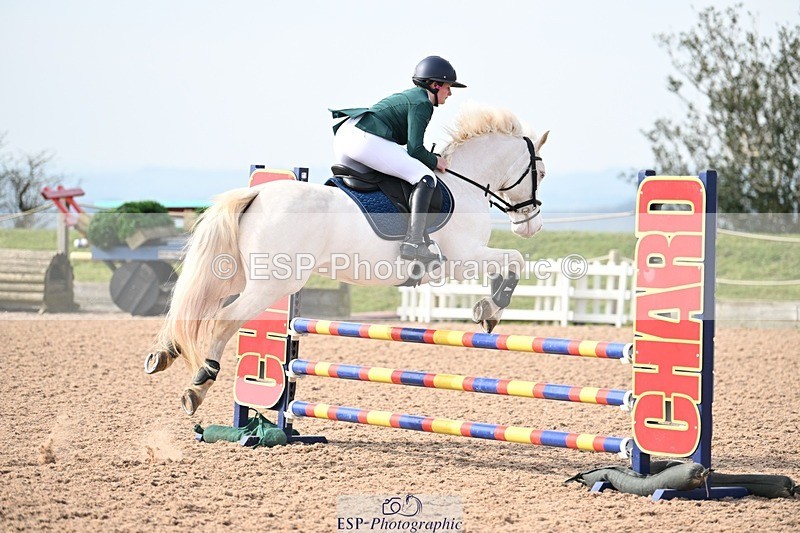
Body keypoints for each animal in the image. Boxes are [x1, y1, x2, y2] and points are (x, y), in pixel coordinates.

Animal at [145, 103, 549, 415]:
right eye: (540, 173)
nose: (532, 226)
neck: (466, 184)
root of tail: (257, 193)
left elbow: (510, 262)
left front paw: (487, 308)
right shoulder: (463, 258)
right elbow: (514, 260)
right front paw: (490, 310)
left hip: (239, 274)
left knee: (194, 303)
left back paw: (165, 353)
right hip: (272, 283)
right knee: (223, 319)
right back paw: (197, 386)